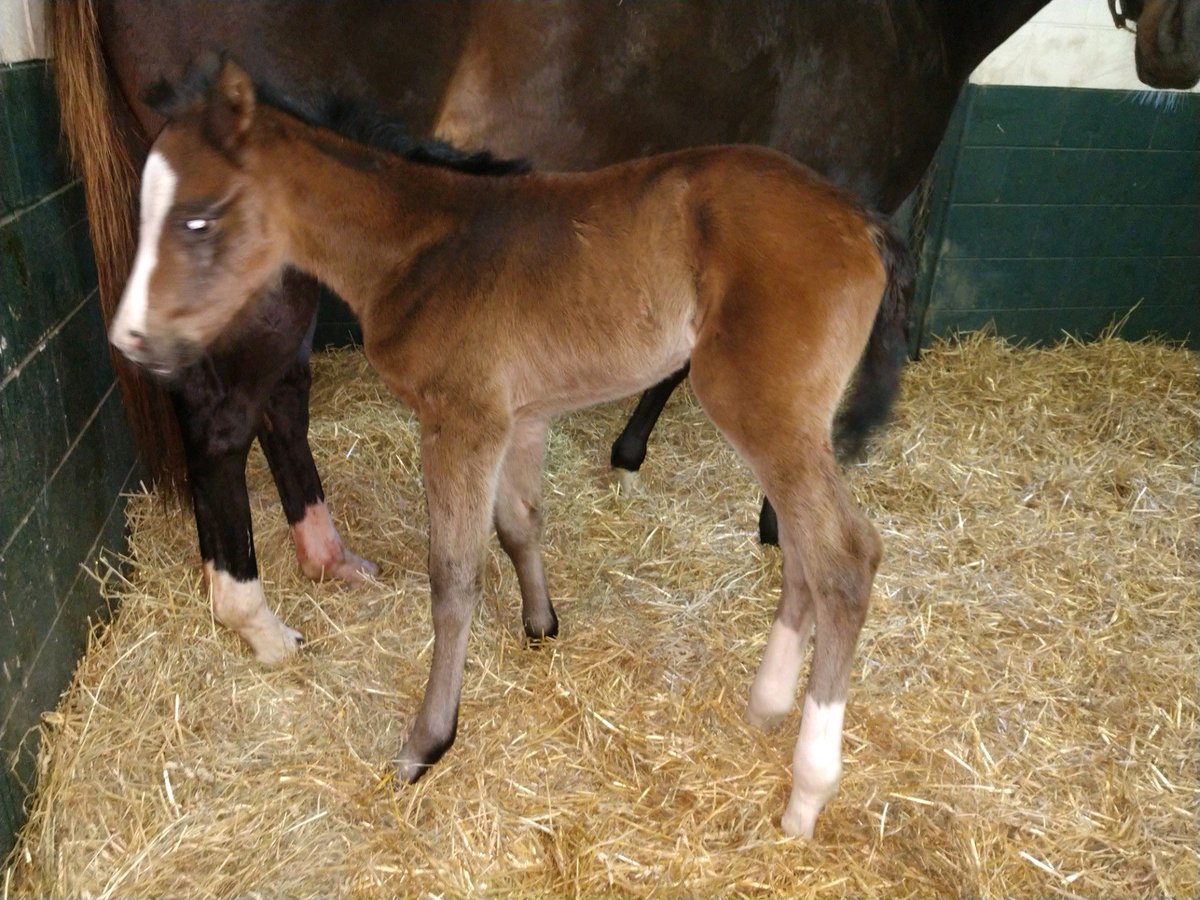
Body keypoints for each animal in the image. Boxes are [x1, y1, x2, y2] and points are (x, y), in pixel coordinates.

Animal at [52, 0, 1200, 664]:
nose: (1174, 53)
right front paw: (763, 518)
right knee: (224, 415)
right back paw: (254, 616)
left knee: (276, 401)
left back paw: (327, 555)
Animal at [108, 57, 913, 839]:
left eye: (199, 218)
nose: (130, 339)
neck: (418, 246)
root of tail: (861, 220)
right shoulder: (518, 418)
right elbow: (519, 523)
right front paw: (540, 625)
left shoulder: (462, 421)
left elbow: (453, 580)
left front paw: (428, 742)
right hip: (785, 422)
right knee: (805, 549)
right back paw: (768, 701)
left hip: (759, 408)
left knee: (844, 559)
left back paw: (807, 792)